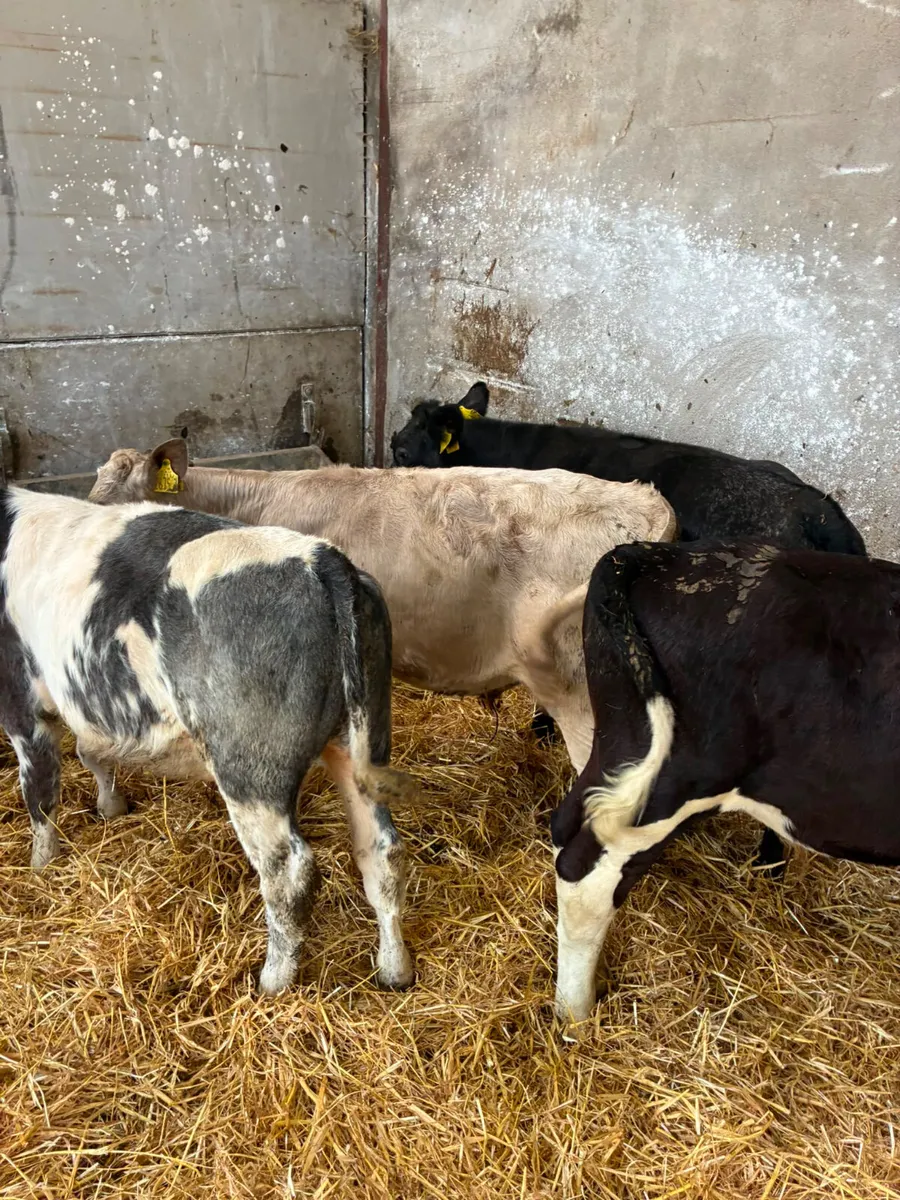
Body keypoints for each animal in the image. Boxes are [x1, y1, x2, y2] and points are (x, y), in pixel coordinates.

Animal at [0, 485, 416, 995]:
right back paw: (394, 970)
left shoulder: (21, 698)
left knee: (288, 870)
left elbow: (39, 789)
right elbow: (90, 751)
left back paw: (272, 980)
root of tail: (322, 558)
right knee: (382, 850)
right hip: (363, 741)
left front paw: (41, 865)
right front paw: (110, 806)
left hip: (249, 766)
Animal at [551, 540, 900, 1023]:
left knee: (565, 825)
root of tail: (647, 556)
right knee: (584, 876)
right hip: (669, 789)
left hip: (620, 752)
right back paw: (576, 1014)